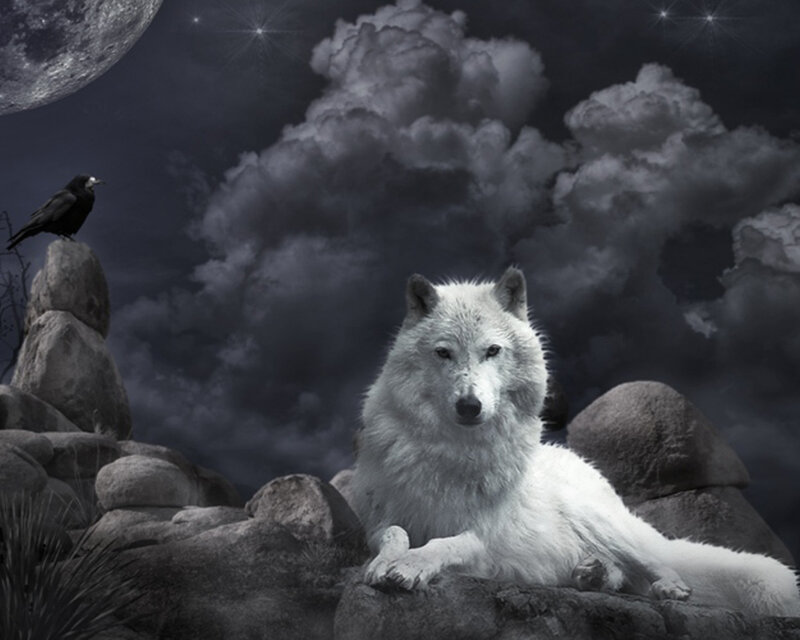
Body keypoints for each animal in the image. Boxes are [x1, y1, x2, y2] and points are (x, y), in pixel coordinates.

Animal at [351, 267, 800, 617]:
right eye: (443, 353)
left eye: (492, 350)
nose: (469, 406)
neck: (454, 452)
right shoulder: (379, 518)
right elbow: (394, 534)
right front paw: (384, 564)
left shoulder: (483, 538)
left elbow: (444, 543)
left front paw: (411, 566)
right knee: (623, 576)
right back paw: (592, 574)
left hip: (602, 521)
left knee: (655, 563)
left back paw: (666, 586)